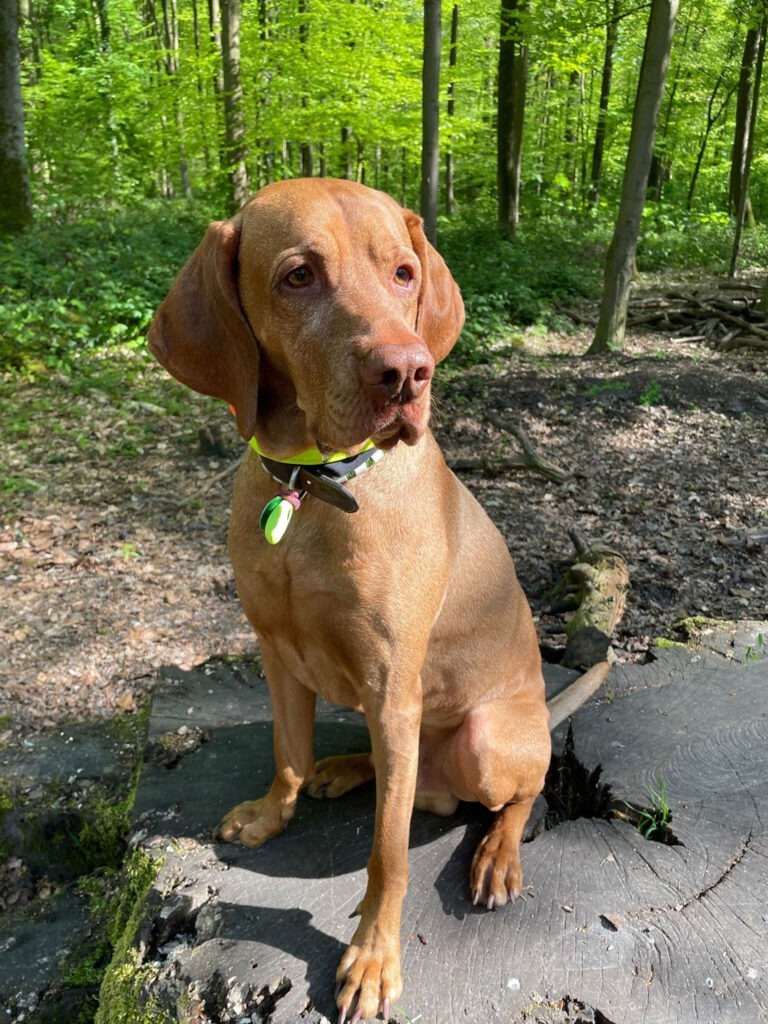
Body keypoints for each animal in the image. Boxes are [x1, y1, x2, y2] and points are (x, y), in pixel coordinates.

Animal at [147, 180, 552, 1019]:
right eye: (298, 276)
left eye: (404, 274)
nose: (406, 373)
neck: (313, 491)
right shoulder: (275, 654)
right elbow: (287, 754)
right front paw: (274, 811)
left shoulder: (393, 684)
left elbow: (386, 854)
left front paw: (372, 957)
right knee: (408, 781)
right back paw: (347, 767)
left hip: (486, 741)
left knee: (516, 795)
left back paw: (497, 856)